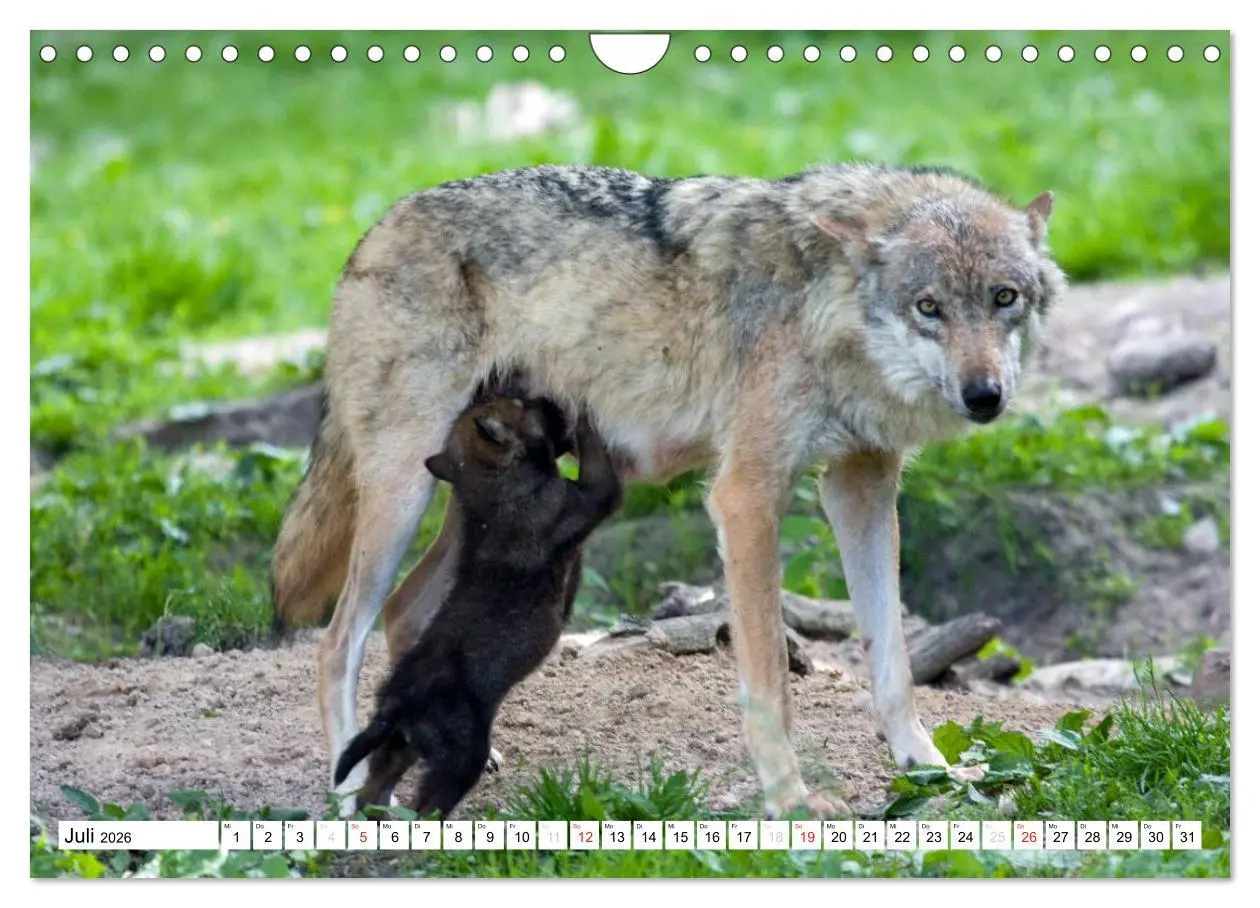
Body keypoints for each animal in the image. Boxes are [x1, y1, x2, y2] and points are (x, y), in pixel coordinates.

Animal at [332, 395, 621, 817]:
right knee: (427, 809)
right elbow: (598, 456)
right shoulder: (591, 495)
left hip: (397, 749)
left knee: (372, 793)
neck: (490, 481)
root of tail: (398, 703)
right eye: (523, 405)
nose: (546, 397)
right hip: (460, 758)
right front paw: (584, 410)